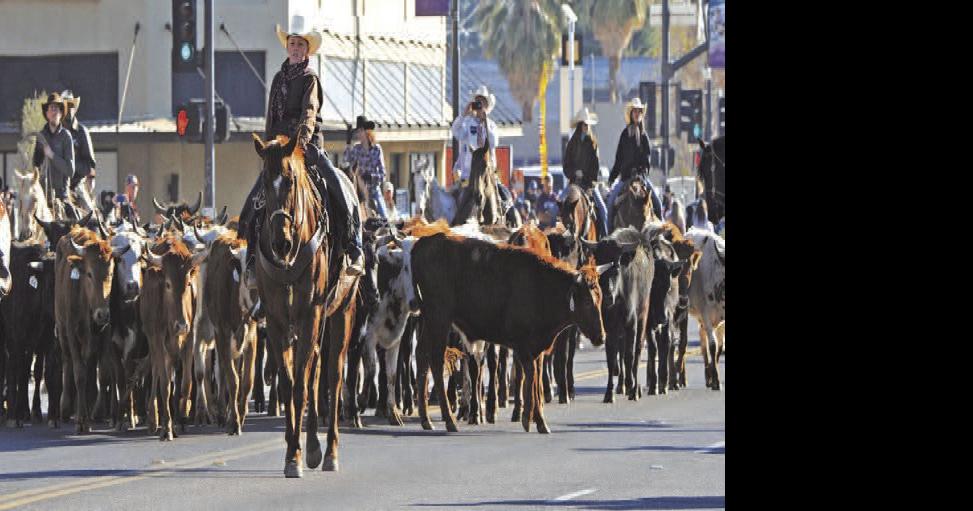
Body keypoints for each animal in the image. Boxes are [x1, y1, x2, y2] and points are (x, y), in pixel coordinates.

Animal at [251, 134, 356, 478]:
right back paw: (311, 447)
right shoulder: (276, 320)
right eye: (264, 184)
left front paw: (298, 455)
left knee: (331, 375)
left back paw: (329, 452)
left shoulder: (311, 314)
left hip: (341, 313)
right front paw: (291, 452)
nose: (280, 242)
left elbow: (302, 384)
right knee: (313, 375)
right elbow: (288, 383)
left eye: (291, 180)